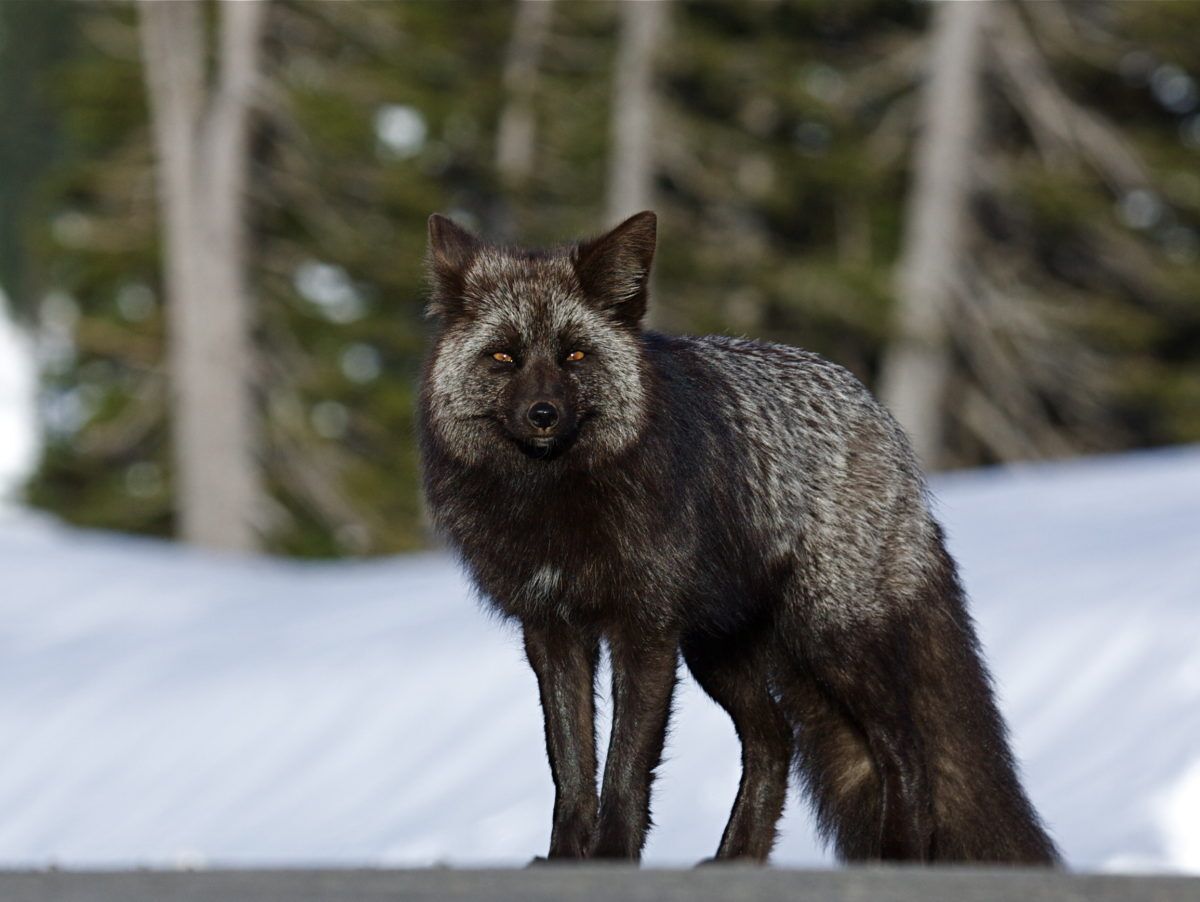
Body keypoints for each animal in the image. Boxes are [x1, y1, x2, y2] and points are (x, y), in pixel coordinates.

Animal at [417, 210, 1060, 866]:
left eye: (574, 354)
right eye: (504, 356)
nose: (543, 414)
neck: (554, 501)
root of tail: (882, 419)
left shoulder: (645, 629)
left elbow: (626, 768)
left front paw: (612, 856)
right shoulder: (551, 629)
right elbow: (570, 766)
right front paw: (568, 860)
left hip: (829, 639)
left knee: (904, 749)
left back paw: (896, 858)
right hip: (719, 650)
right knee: (776, 740)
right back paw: (735, 858)